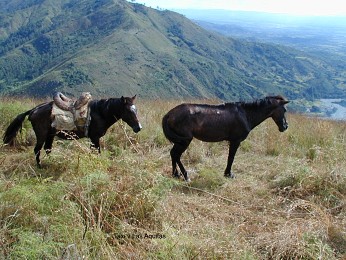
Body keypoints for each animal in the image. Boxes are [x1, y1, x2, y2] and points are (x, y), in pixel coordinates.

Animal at [3, 95, 141, 167]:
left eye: (136, 110)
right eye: (128, 111)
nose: (138, 127)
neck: (100, 112)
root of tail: (33, 110)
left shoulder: (93, 139)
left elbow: (93, 152)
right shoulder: (94, 137)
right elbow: (97, 152)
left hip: (50, 135)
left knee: (47, 149)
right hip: (41, 134)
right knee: (37, 150)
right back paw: (40, 166)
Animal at [162, 95, 290, 181]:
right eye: (284, 110)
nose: (285, 126)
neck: (246, 114)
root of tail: (168, 115)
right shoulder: (235, 141)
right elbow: (231, 158)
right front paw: (228, 174)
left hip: (181, 141)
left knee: (173, 154)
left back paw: (176, 174)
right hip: (185, 141)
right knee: (176, 155)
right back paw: (185, 175)